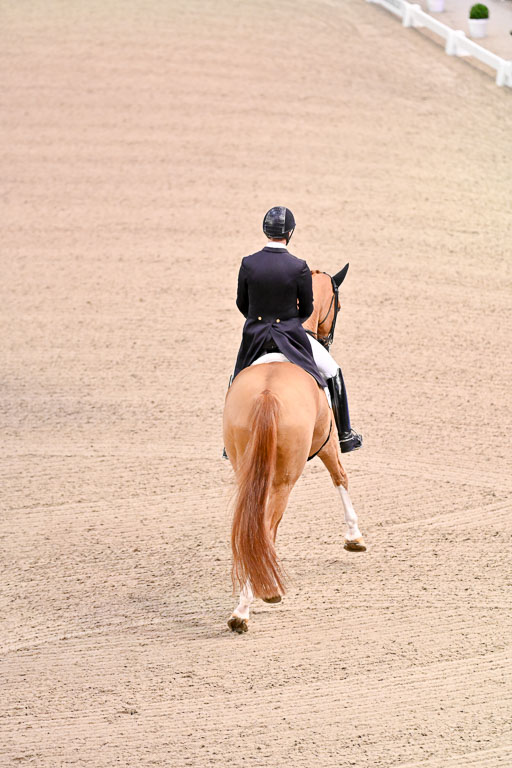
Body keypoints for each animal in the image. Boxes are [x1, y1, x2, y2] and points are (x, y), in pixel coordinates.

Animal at [223, 267, 366, 633]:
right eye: (338, 305)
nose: (326, 339)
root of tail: (267, 396)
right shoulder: (328, 443)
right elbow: (341, 478)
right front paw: (355, 537)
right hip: (283, 480)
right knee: (265, 528)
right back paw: (253, 603)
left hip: (248, 471)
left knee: (248, 528)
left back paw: (246, 602)